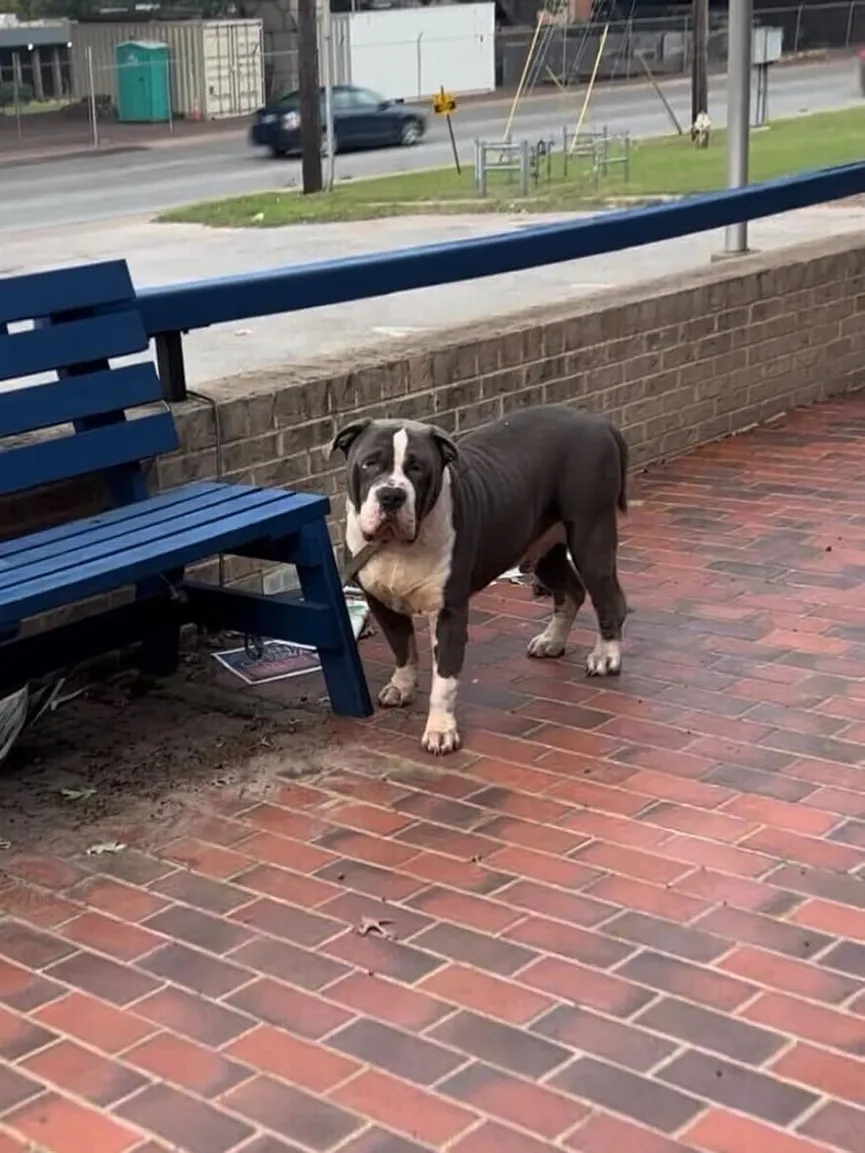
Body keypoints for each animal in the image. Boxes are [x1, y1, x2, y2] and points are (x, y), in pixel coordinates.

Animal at [332, 405, 632, 756]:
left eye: (417, 468)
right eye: (369, 463)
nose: (391, 495)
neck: (397, 547)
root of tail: (598, 421)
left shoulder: (449, 612)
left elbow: (444, 680)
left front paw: (441, 731)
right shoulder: (381, 602)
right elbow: (402, 648)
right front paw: (401, 686)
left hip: (590, 536)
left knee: (608, 598)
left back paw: (606, 656)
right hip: (543, 549)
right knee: (571, 590)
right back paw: (551, 641)